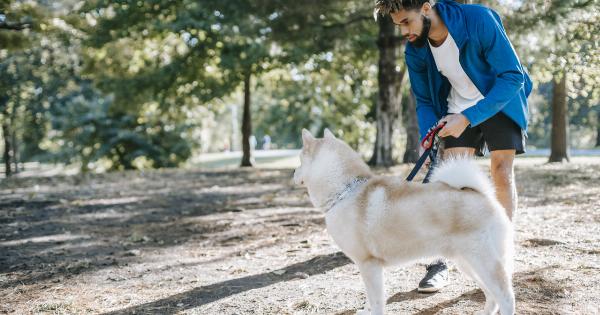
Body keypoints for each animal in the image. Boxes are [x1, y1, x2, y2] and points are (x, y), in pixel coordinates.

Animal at [292, 130, 512, 314]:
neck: (345, 190)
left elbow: (376, 301)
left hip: (483, 262)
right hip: (467, 264)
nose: (293, 172)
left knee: (506, 297)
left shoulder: (368, 264)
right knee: (492, 296)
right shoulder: (369, 268)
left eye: (300, 160)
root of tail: (483, 195)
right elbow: (370, 299)